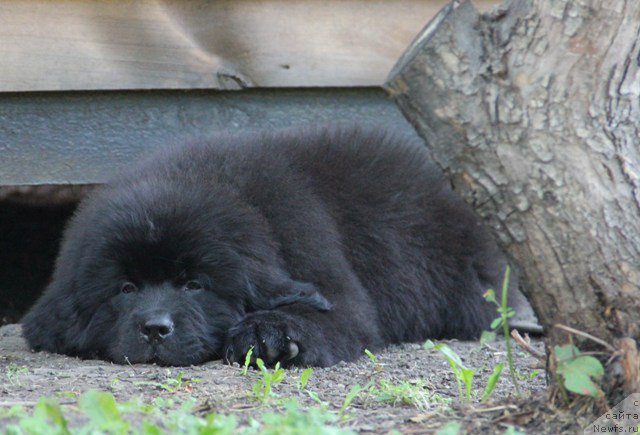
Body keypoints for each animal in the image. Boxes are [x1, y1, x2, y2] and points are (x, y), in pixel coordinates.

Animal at [22, 127, 516, 368]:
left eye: (194, 285)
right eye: (126, 289)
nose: (155, 329)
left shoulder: (334, 287)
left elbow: (325, 314)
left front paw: (269, 335)